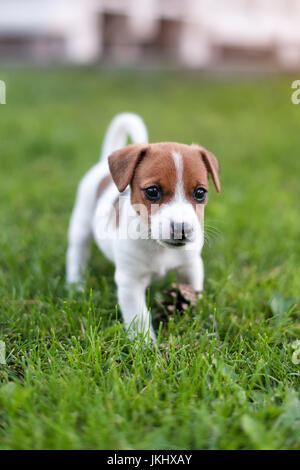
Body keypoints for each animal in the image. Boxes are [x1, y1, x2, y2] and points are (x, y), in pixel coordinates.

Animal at [66, 113, 220, 342]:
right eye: (153, 191)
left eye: (200, 193)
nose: (181, 229)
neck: (160, 249)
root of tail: (102, 166)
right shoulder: (130, 283)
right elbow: (139, 319)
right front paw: (146, 347)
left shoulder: (191, 267)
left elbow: (192, 294)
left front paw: (192, 324)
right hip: (81, 224)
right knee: (77, 253)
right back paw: (75, 285)